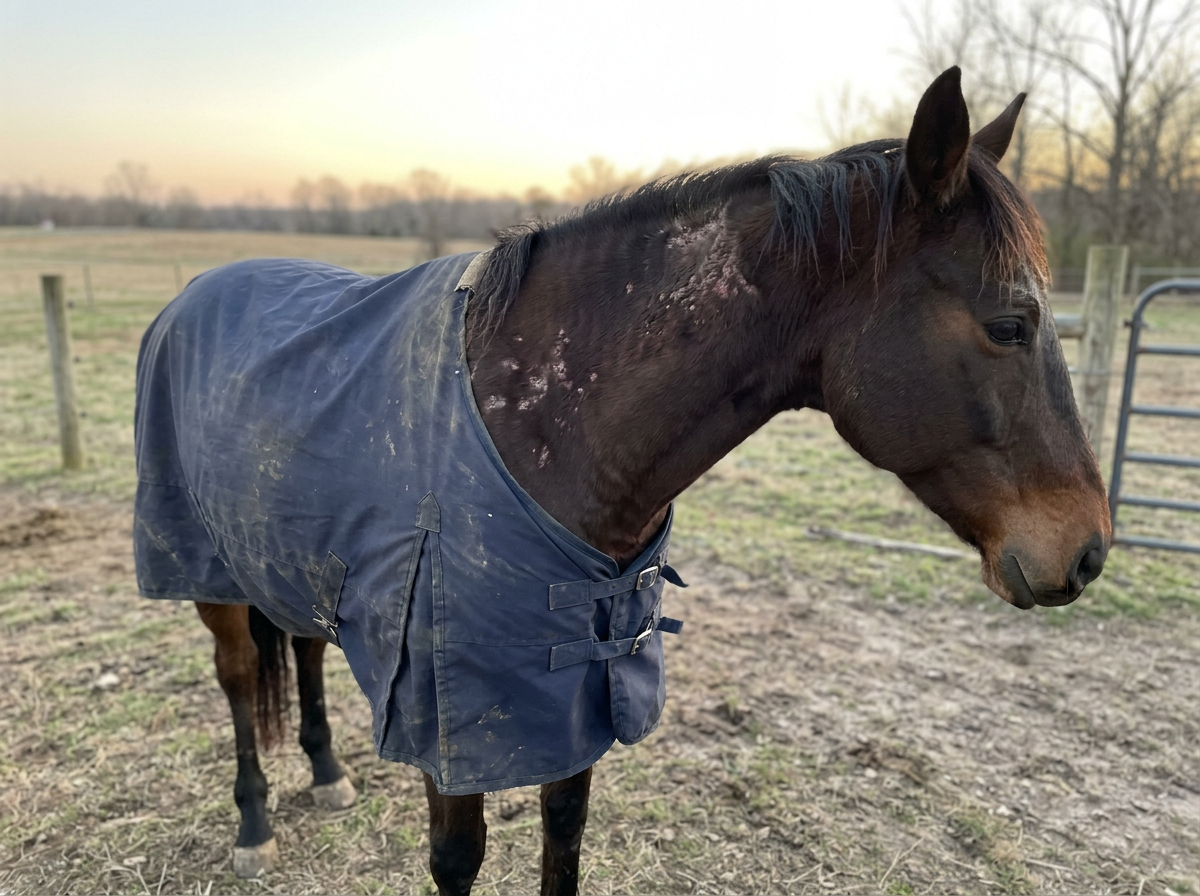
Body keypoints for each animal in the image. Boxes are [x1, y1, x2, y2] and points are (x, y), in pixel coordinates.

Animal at [132, 67, 1110, 895]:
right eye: (1010, 323)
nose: (1089, 550)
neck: (536, 429)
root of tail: (197, 291)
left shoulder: (574, 697)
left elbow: (565, 830)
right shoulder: (453, 719)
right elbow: (458, 858)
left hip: (289, 557)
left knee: (300, 645)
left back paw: (329, 772)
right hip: (207, 573)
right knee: (236, 675)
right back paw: (254, 825)